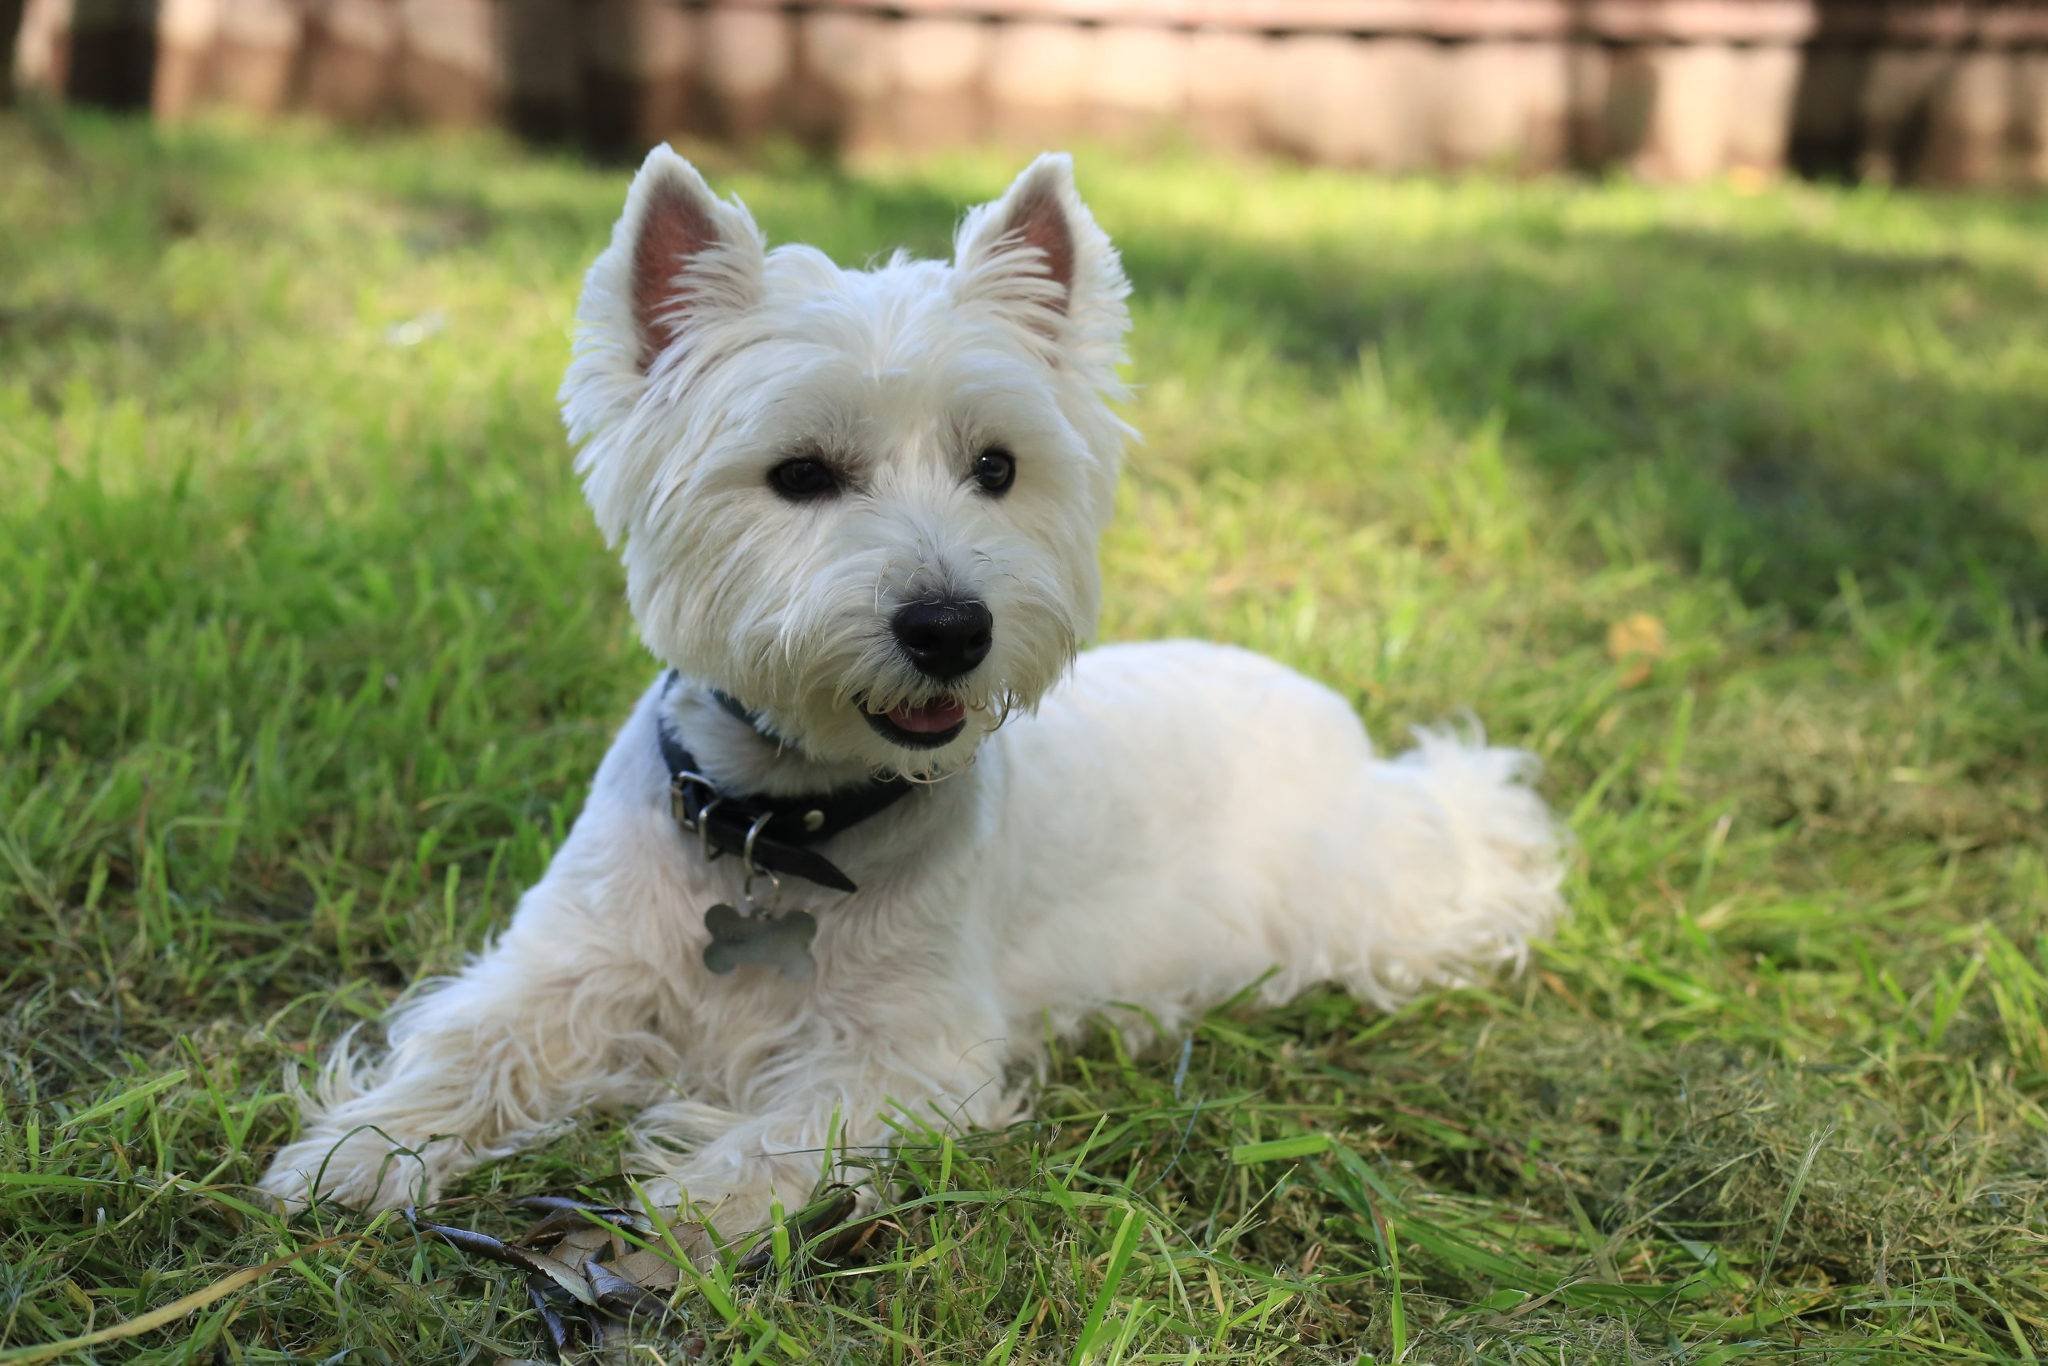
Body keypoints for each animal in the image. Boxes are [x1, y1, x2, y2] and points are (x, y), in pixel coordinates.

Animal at [260, 149, 1564, 1236]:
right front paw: (357, 1154)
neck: (778, 826)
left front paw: (685, 1213)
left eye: (995, 466)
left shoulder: (916, 1046)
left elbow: (793, 1127)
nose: (949, 628)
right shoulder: (569, 961)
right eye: (797, 474)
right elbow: (468, 1046)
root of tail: (1331, 716)